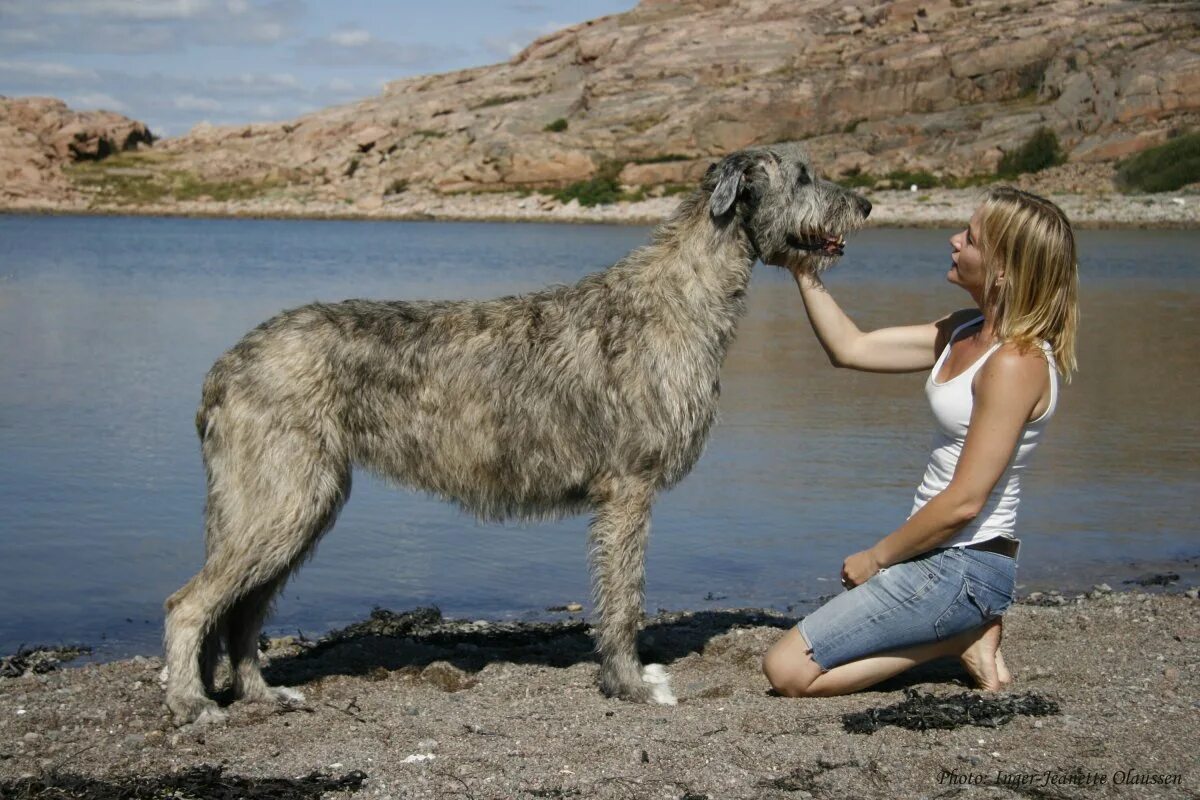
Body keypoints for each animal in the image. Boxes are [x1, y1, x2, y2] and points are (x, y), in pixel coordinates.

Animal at [164, 143, 868, 724]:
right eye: (803, 175)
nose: (864, 203)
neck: (679, 297)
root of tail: (224, 366)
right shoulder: (629, 487)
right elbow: (624, 597)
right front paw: (630, 684)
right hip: (281, 495)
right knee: (191, 603)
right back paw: (192, 704)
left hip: (297, 501)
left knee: (243, 610)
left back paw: (260, 694)